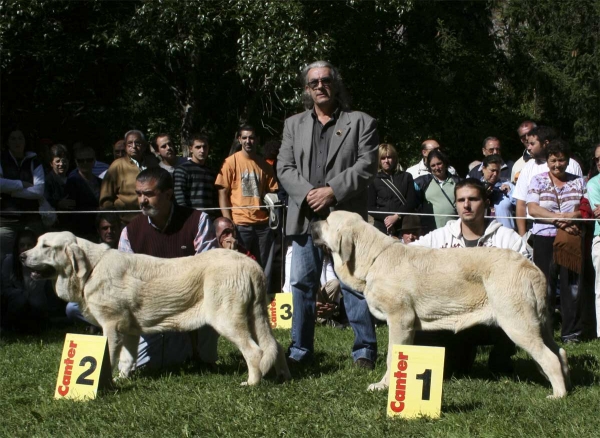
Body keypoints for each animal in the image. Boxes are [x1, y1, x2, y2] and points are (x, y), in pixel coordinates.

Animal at [23, 231, 292, 384]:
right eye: (36, 243)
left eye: (46, 246)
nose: (22, 256)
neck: (91, 268)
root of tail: (250, 265)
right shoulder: (128, 331)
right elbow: (127, 359)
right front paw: (122, 380)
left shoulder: (111, 326)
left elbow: (108, 358)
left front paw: (102, 383)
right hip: (255, 317)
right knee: (274, 346)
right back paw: (283, 376)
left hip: (228, 321)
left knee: (255, 352)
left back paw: (251, 383)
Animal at [312, 210, 568, 398]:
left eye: (327, 221)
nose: (312, 222)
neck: (374, 259)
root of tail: (532, 267)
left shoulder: (400, 320)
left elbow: (392, 356)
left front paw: (384, 385)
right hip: (539, 326)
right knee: (560, 353)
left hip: (517, 323)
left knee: (549, 358)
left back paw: (558, 395)